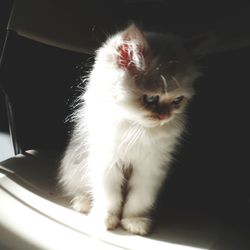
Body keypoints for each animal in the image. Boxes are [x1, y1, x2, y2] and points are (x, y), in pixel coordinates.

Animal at [58, 24, 199, 235]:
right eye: (151, 99)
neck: (138, 130)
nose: (164, 117)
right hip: (75, 167)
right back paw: (84, 204)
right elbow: (109, 198)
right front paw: (105, 220)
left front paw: (135, 222)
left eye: (177, 101)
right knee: (78, 190)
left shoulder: (150, 167)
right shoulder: (107, 162)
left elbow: (139, 199)